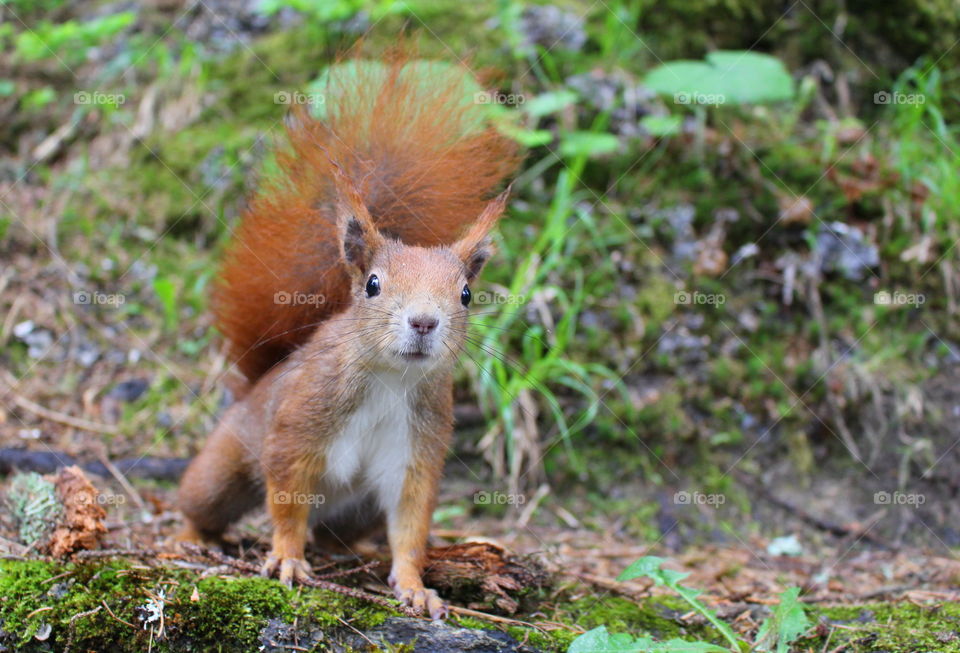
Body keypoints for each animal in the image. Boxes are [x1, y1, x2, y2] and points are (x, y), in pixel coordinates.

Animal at [172, 52, 516, 620]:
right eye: (373, 284)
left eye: (466, 294)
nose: (424, 322)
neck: (392, 380)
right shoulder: (298, 427)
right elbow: (287, 502)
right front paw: (287, 559)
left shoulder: (414, 453)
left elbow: (411, 525)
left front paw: (414, 585)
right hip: (224, 465)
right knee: (205, 502)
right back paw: (189, 536)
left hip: (359, 511)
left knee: (340, 534)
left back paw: (356, 553)